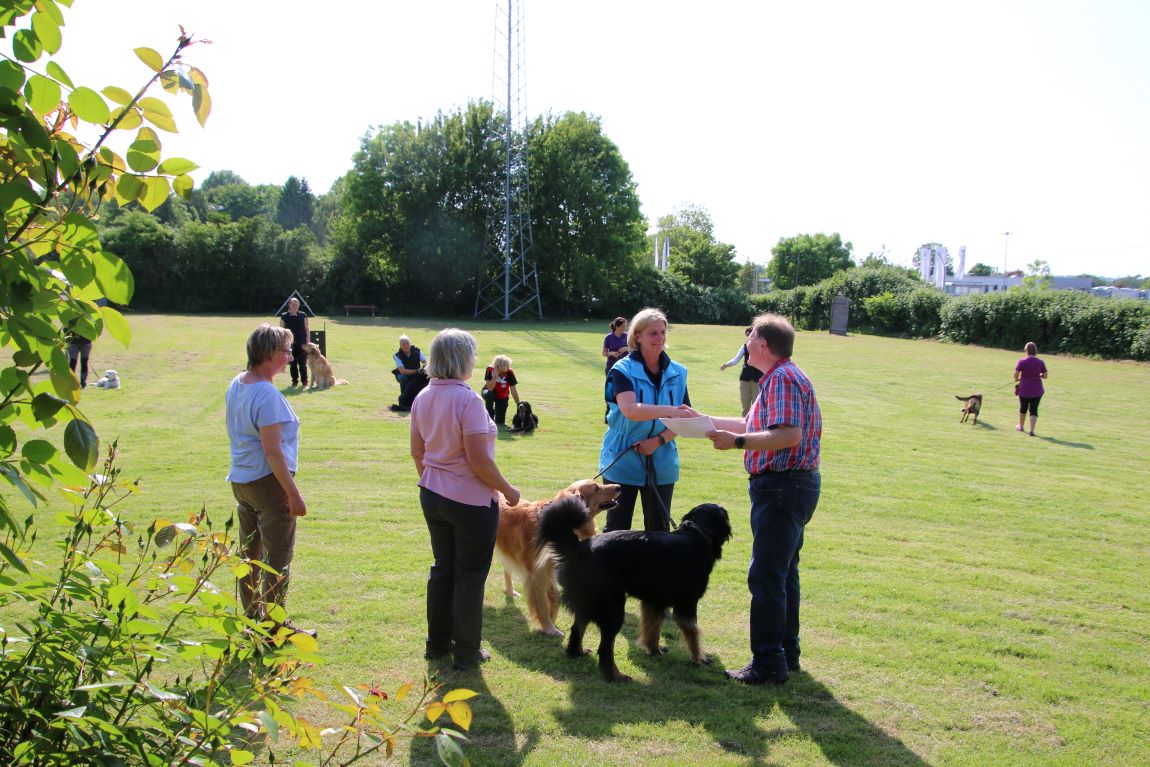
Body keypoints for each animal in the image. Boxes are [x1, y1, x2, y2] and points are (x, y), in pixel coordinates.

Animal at [494, 480, 621, 634]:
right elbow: (542, 603)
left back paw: (510, 591)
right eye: (596, 488)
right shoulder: (537, 573)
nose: (619, 486)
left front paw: (552, 620)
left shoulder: (550, 567)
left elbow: (556, 597)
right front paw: (549, 628)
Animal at [535, 499, 731, 685]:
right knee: (605, 649)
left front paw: (654, 650)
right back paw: (615, 676)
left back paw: (578, 653)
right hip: (612, 610)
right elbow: (693, 633)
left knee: (577, 629)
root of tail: (578, 549)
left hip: (588, 604)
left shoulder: (654, 602)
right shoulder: (687, 604)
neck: (697, 534)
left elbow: (653, 628)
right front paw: (699, 659)